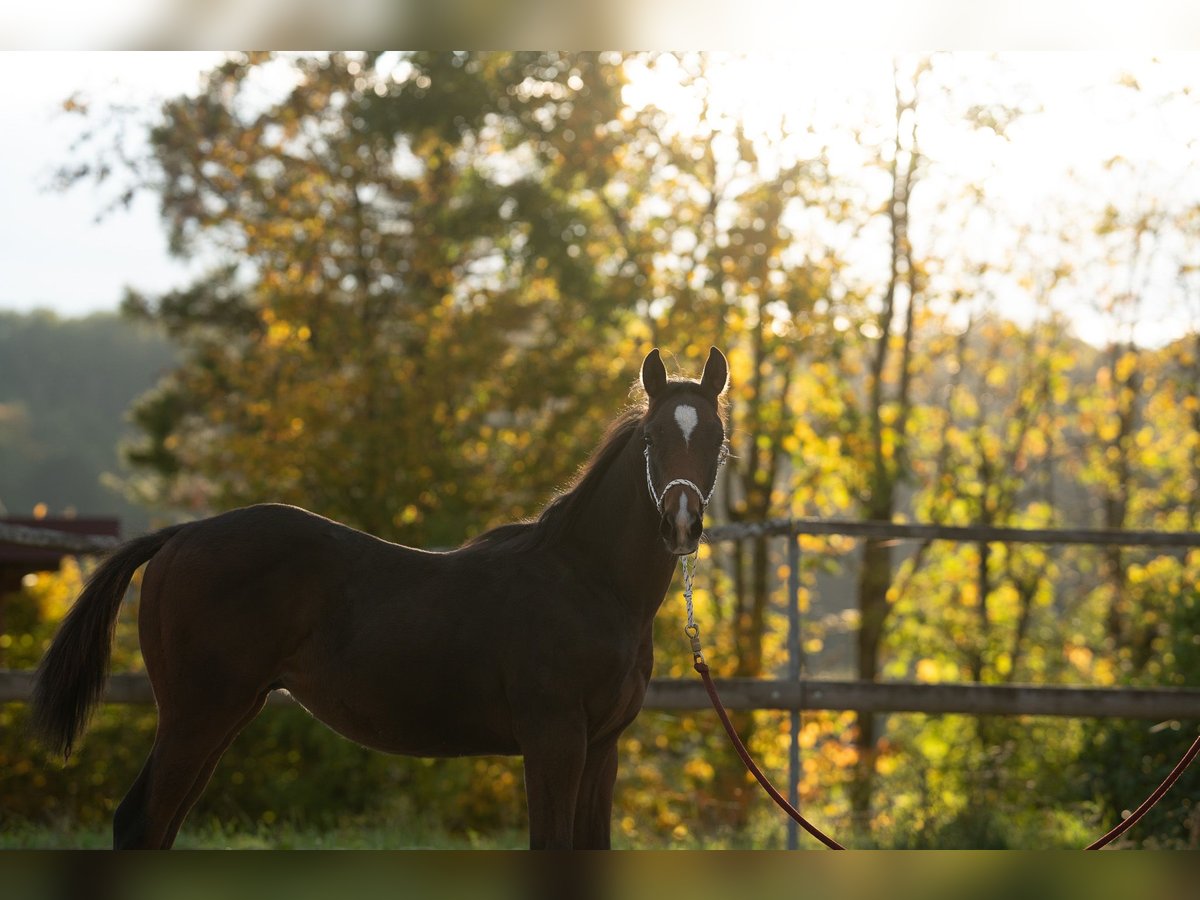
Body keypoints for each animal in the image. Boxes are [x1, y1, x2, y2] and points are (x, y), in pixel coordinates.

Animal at [30, 347, 730, 849]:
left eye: (717, 439)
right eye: (651, 438)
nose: (681, 522)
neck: (586, 582)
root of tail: (180, 535)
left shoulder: (602, 748)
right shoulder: (553, 739)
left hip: (221, 713)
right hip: (196, 713)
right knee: (139, 823)